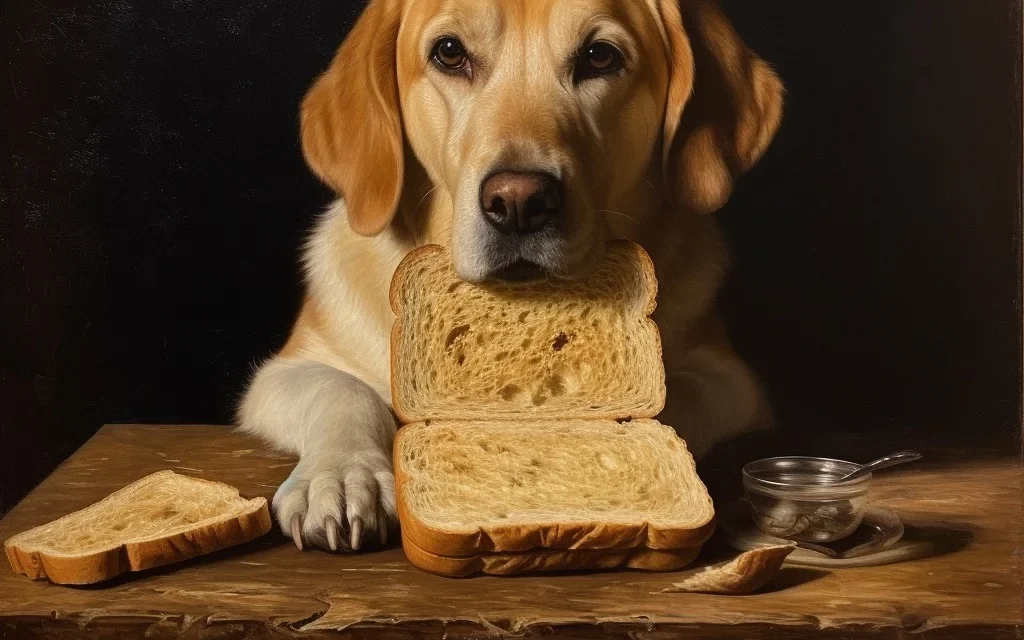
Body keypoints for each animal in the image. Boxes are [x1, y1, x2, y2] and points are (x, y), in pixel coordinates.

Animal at [239, 0, 782, 552]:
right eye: (449, 53)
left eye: (600, 56)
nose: (519, 202)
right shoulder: (288, 369)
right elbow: (344, 392)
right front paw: (344, 477)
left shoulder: (734, 383)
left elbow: (678, 397)